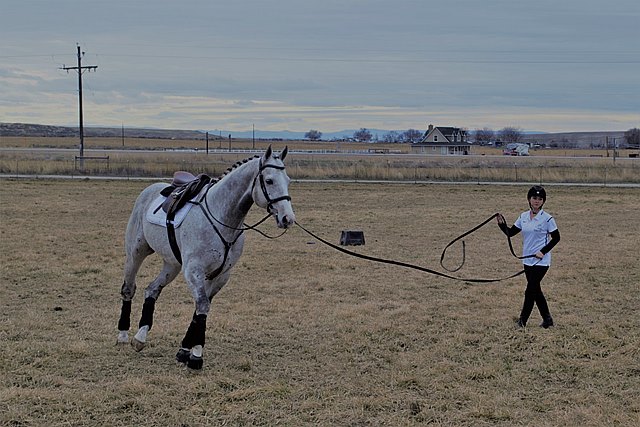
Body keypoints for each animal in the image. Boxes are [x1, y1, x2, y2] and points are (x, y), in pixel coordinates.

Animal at [115, 145, 296, 370]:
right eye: (269, 180)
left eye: (288, 180)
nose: (288, 219)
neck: (222, 218)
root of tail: (151, 189)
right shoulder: (194, 271)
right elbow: (202, 305)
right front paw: (196, 356)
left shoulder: (221, 274)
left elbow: (202, 308)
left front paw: (185, 350)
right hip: (136, 253)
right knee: (129, 288)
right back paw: (123, 334)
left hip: (172, 265)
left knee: (152, 289)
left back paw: (140, 336)